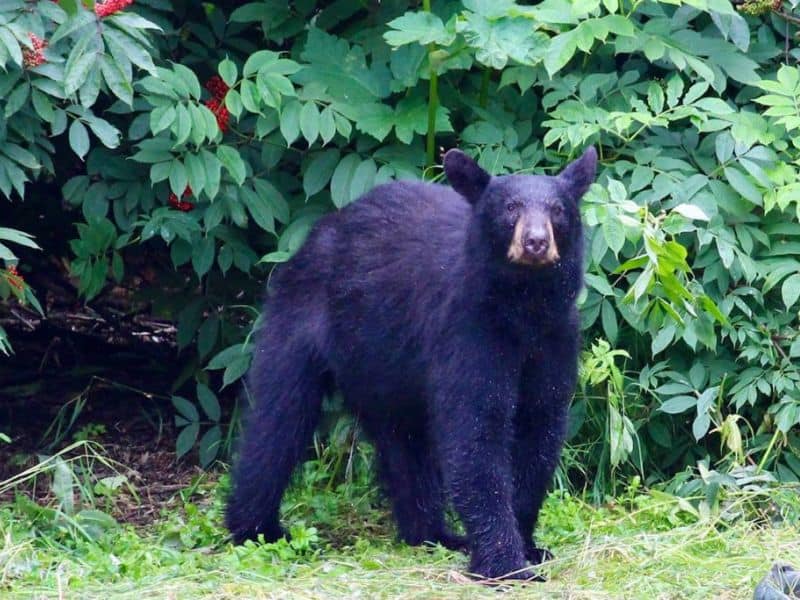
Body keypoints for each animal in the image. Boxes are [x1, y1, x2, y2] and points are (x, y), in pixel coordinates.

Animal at [226, 146, 598, 581]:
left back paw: (435, 533)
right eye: (510, 208)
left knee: (405, 445)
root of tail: (315, 236)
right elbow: (477, 431)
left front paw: (529, 546)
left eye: (557, 210)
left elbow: (539, 425)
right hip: (300, 320)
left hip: (386, 368)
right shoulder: (469, 329)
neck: (525, 307)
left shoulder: (557, 335)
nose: (536, 242)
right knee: (278, 419)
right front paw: (506, 565)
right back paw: (257, 528)